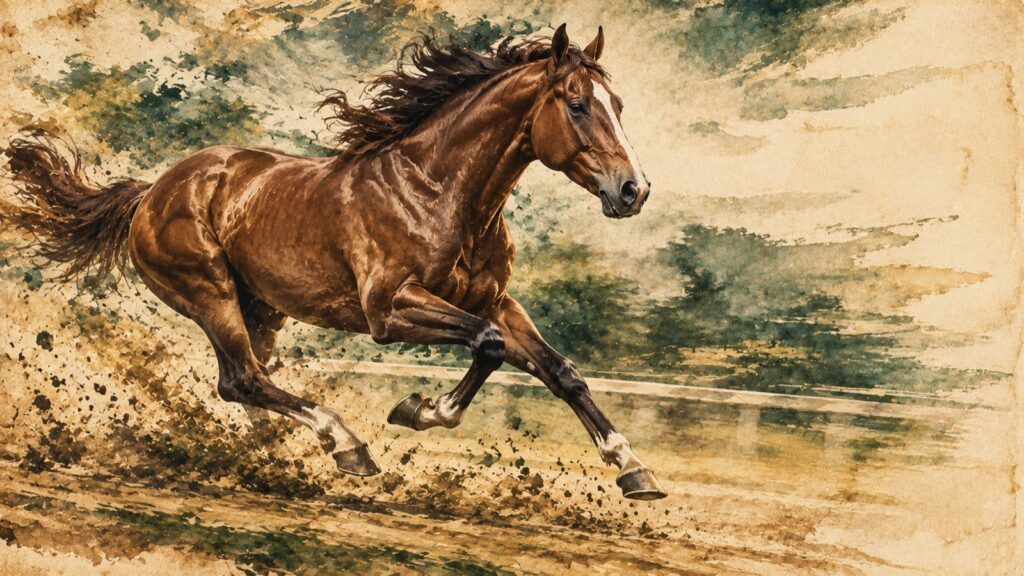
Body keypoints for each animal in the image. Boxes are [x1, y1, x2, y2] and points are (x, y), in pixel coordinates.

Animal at [4, 25, 665, 500]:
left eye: (619, 104)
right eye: (577, 106)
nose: (633, 189)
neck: (437, 189)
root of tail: (152, 192)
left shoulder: (497, 301)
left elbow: (561, 370)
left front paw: (634, 470)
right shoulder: (389, 310)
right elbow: (487, 345)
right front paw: (418, 411)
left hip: (261, 308)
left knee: (247, 387)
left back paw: (271, 460)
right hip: (210, 293)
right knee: (242, 379)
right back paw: (346, 447)